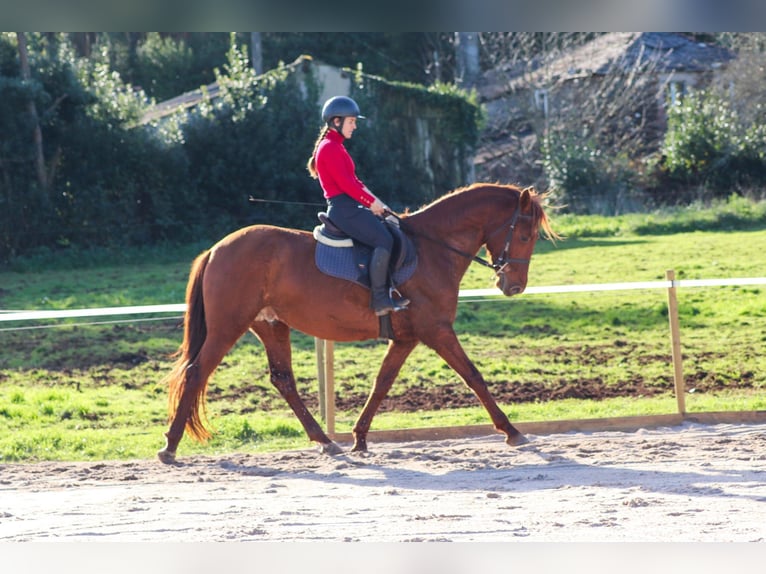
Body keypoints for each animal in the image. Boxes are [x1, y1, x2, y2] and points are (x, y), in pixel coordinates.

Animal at [159, 182, 556, 466]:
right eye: (525, 235)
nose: (513, 286)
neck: (433, 248)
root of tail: (216, 249)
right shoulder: (437, 331)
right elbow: (473, 376)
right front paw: (512, 431)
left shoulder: (406, 338)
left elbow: (382, 383)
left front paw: (359, 438)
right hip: (228, 327)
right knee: (197, 372)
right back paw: (170, 447)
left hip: (271, 326)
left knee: (283, 380)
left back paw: (325, 442)